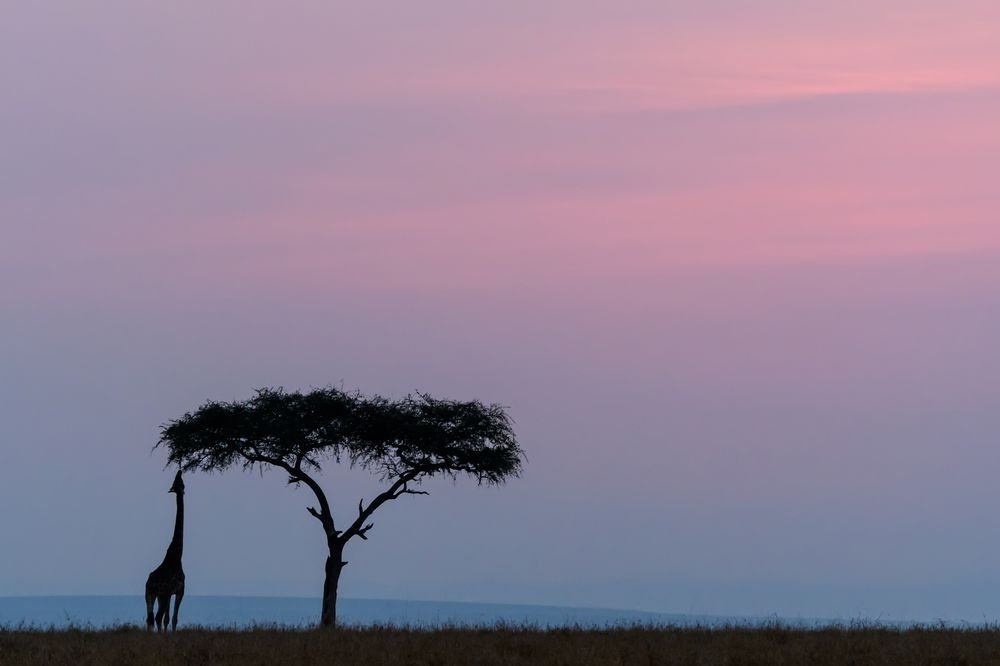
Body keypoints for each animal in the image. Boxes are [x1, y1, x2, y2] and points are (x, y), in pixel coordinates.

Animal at [145, 470, 186, 631]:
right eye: (178, 481)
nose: (180, 470)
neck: (177, 555)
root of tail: (150, 581)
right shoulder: (178, 591)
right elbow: (172, 618)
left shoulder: (171, 593)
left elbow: (168, 619)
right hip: (160, 595)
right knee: (156, 617)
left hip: (150, 594)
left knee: (150, 618)